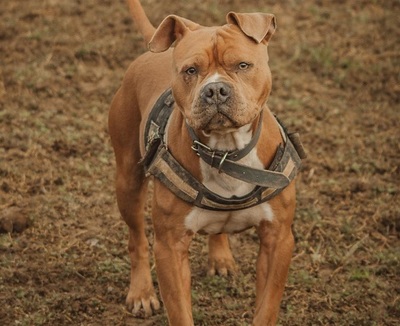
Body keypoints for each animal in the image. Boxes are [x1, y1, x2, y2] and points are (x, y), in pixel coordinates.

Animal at [108, 0, 304, 326]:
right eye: (191, 70)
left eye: (242, 65)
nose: (215, 90)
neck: (226, 151)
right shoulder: (170, 247)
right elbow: (179, 310)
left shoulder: (278, 240)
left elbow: (266, 307)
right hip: (128, 180)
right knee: (137, 237)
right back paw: (141, 292)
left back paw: (221, 257)